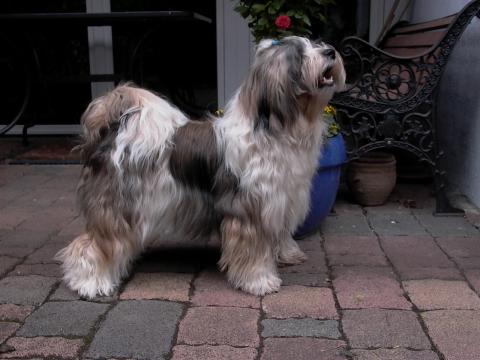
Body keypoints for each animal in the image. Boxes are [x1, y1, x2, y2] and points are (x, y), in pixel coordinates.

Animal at [57, 35, 344, 298]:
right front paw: (259, 281)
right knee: (92, 244)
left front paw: (286, 253)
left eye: (315, 43)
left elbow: (281, 232)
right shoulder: (248, 210)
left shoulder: (284, 198)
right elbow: (251, 250)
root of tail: (113, 130)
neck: (275, 129)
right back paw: (90, 283)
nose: (330, 51)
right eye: (300, 55)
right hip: (115, 207)